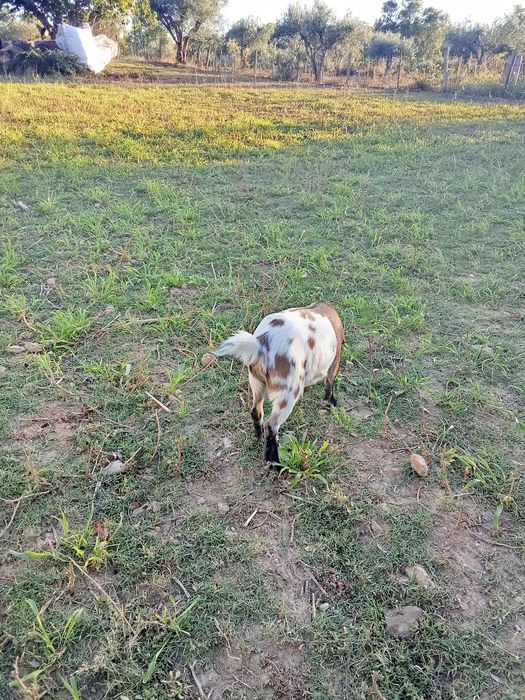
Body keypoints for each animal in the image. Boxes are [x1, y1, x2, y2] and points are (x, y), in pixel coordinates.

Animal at [213, 302, 344, 464]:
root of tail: (261, 342)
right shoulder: (334, 363)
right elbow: (329, 383)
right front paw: (330, 402)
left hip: (256, 382)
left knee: (256, 411)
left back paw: (259, 439)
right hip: (288, 391)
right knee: (271, 426)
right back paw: (275, 462)